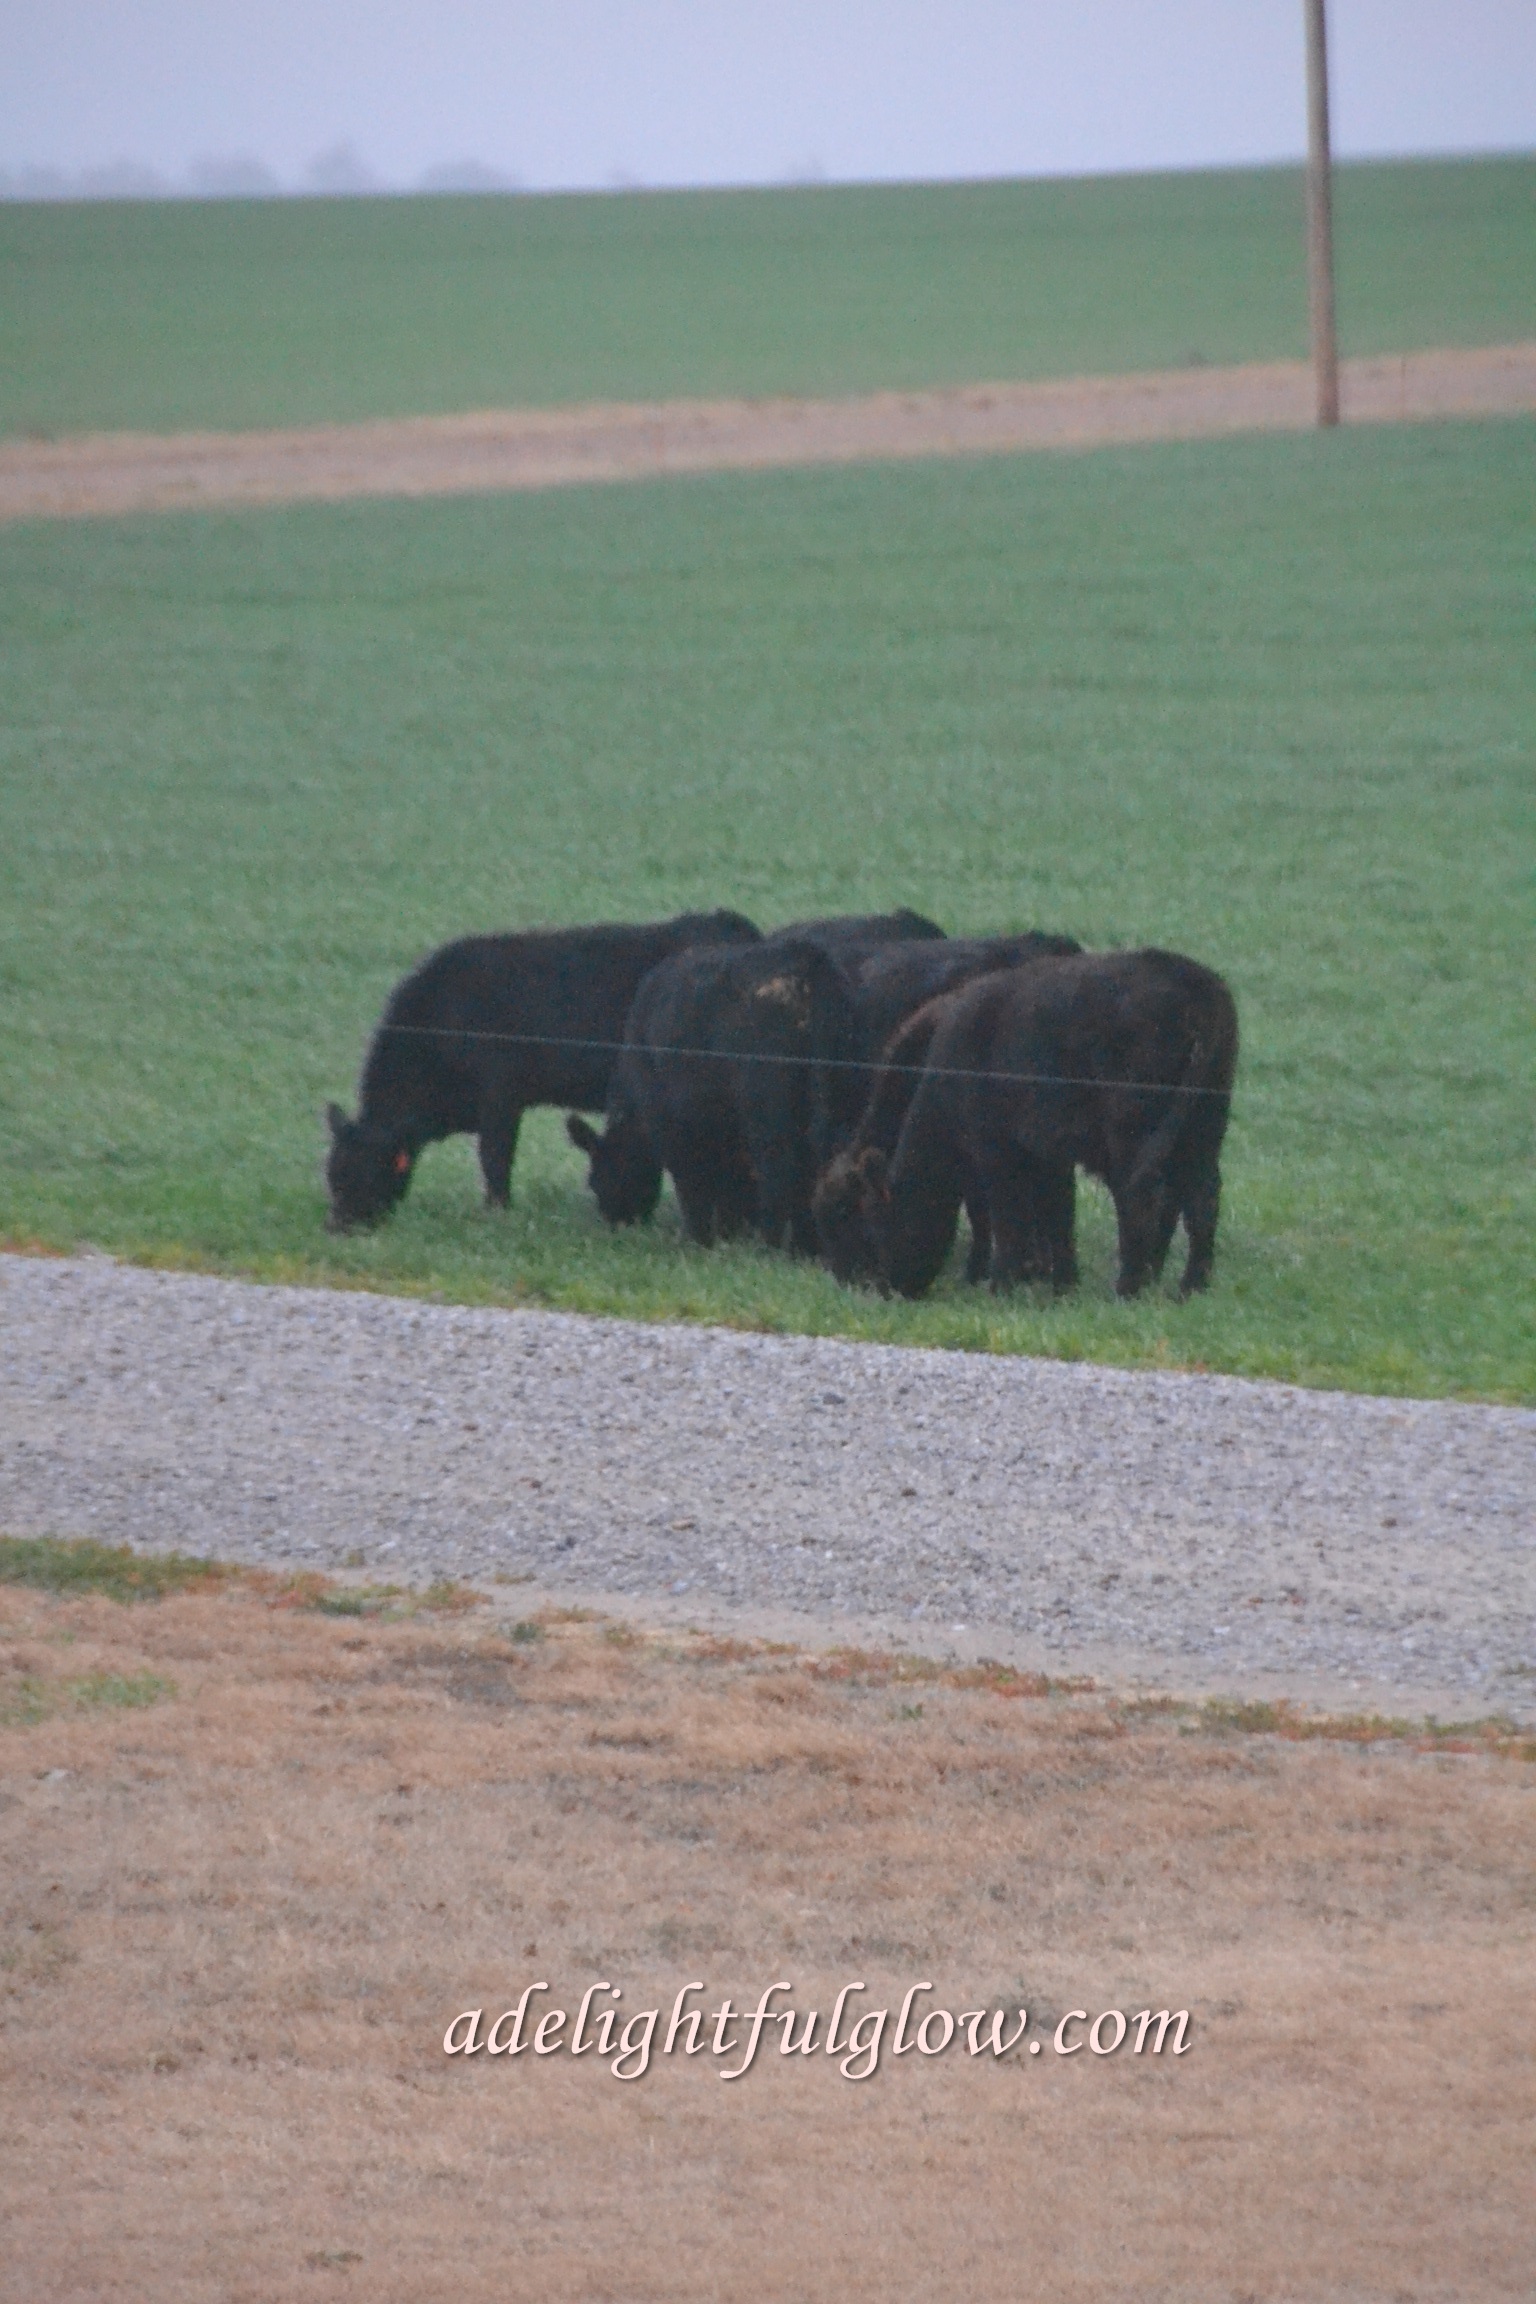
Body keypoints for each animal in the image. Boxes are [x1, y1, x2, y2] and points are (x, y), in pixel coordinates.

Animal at [324, 911, 761, 1231]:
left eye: (365, 1174)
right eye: (332, 1173)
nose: (337, 1227)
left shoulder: (499, 1094)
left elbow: (495, 1156)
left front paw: (497, 1211)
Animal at [566, 939, 858, 1253]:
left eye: (596, 1181)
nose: (615, 1223)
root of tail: (805, 956)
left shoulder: (671, 1122)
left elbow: (693, 1180)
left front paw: (700, 1237)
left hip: (767, 1105)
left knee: (780, 1164)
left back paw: (775, 1244)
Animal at [812, 950, 1238, 1300]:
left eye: (853, 1216)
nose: (859, 1284)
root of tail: (1198, 984)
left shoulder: (995, 1151)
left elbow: (1006, 1219)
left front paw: (1000, 1285)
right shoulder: (1048, 1157)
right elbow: (1057, 1217)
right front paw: (1062, 1284)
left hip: (1133, 1138)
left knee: (1141, 1195)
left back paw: (1128, 1288)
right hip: (1204, 1129)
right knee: (1202, 1197)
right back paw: (1188, 1287)